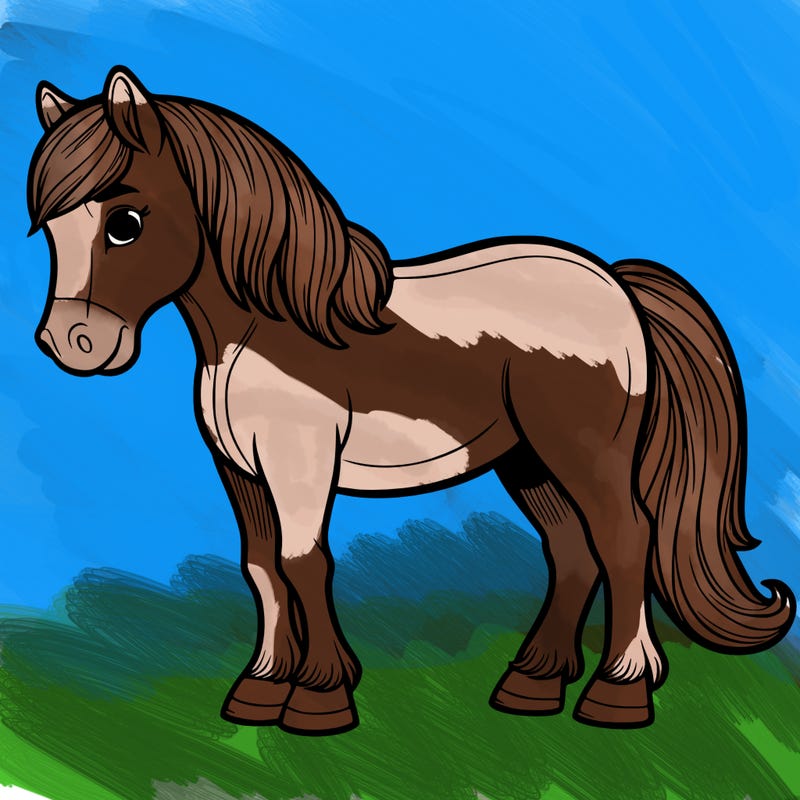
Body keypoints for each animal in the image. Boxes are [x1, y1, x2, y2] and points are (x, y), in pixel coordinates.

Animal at [28, 66, 794, 734]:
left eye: (126, 220)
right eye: (52, 228)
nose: (72, 343)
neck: (260, 329)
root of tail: (615, 283)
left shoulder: (300, 462)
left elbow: (303, 562)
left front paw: (320, 699)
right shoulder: (240, 468)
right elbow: (261, 567)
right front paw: (259, 691)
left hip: (583, 453)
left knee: (625, 538)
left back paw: (617, 695)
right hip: (527, 462)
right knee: (572, 550)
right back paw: (531, 685)